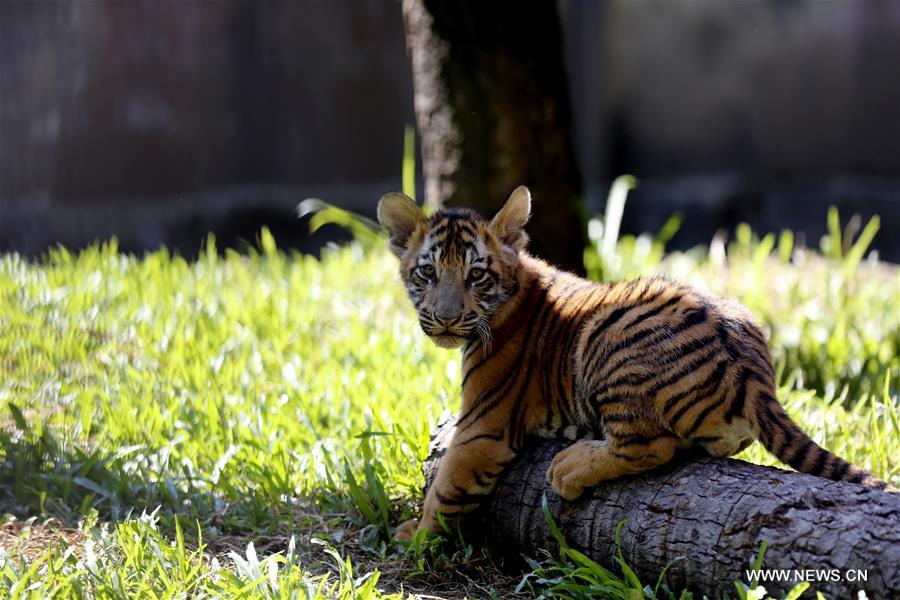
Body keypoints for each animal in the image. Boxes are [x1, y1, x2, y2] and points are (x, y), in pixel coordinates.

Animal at [377, 185, 893, 541]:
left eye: (476, 276)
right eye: (428, 273)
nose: (446, 318)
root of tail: (755, 377)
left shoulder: (483, 426)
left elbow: (446, 486)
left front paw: (414, 537)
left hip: (606, 335)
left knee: (650, 446)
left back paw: (569, 467)